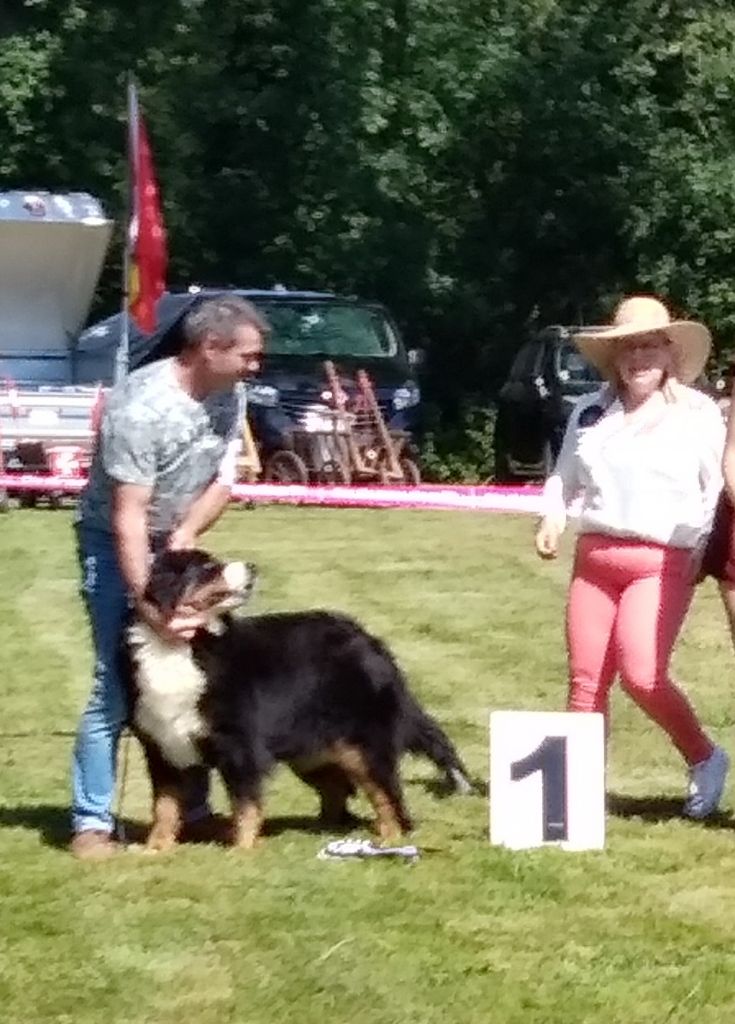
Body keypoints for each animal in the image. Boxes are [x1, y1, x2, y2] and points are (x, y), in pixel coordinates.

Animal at [118, 548, 468, 851]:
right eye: (207, 568)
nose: (252, 567)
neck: (182, 645)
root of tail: (371, 641)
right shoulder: (162, 747)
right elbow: (164, 807)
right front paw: (154, 849)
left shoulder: (239, 746)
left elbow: (245, 804)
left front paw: (241, 850)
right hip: (312, 751)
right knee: (336, 789)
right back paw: (323, 831)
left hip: (362, 746)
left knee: (387, 795)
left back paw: (388, 839)